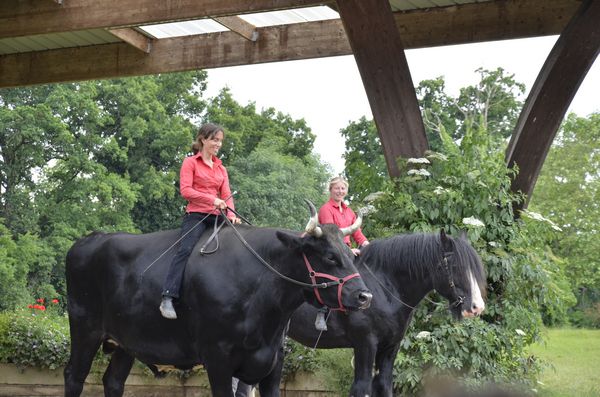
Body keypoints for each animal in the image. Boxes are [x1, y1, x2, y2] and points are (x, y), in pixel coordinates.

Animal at [62, 203, 370, 396]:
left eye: (350, 252)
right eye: (330, 256)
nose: (364, 295)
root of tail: (91, 238)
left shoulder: (274, 363)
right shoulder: (218, 359)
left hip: (126, 342)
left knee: (113, 382)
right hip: (84, 329)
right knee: (74, 377)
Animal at [254, 229, 488, 396]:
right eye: (455, 266)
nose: (477, 307)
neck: (384, 289)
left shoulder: (390, 347)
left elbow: (384, 385)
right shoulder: (366, 344)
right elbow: (362, 387)